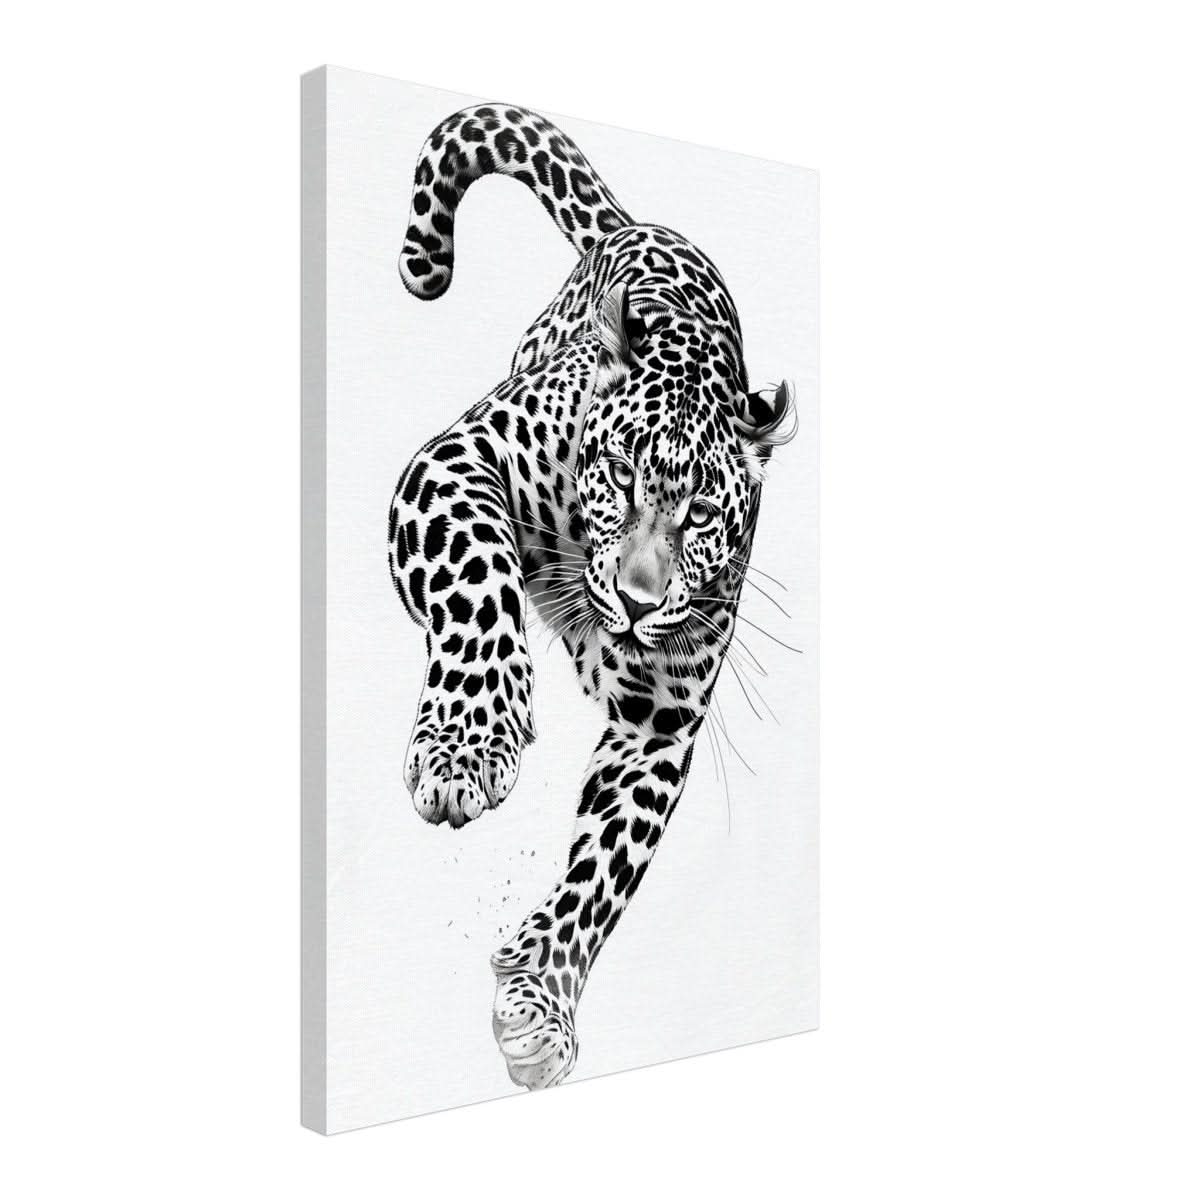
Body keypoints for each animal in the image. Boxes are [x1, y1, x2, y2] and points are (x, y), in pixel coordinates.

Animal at [388, 104, 796, 1090]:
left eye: (702, 514)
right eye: (617, 473)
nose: (640, 601)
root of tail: (641, 224)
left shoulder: (658, 722)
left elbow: (605, 869)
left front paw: (538, 1000)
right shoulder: (454, 464)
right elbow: (479, 579)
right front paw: (468, 746)